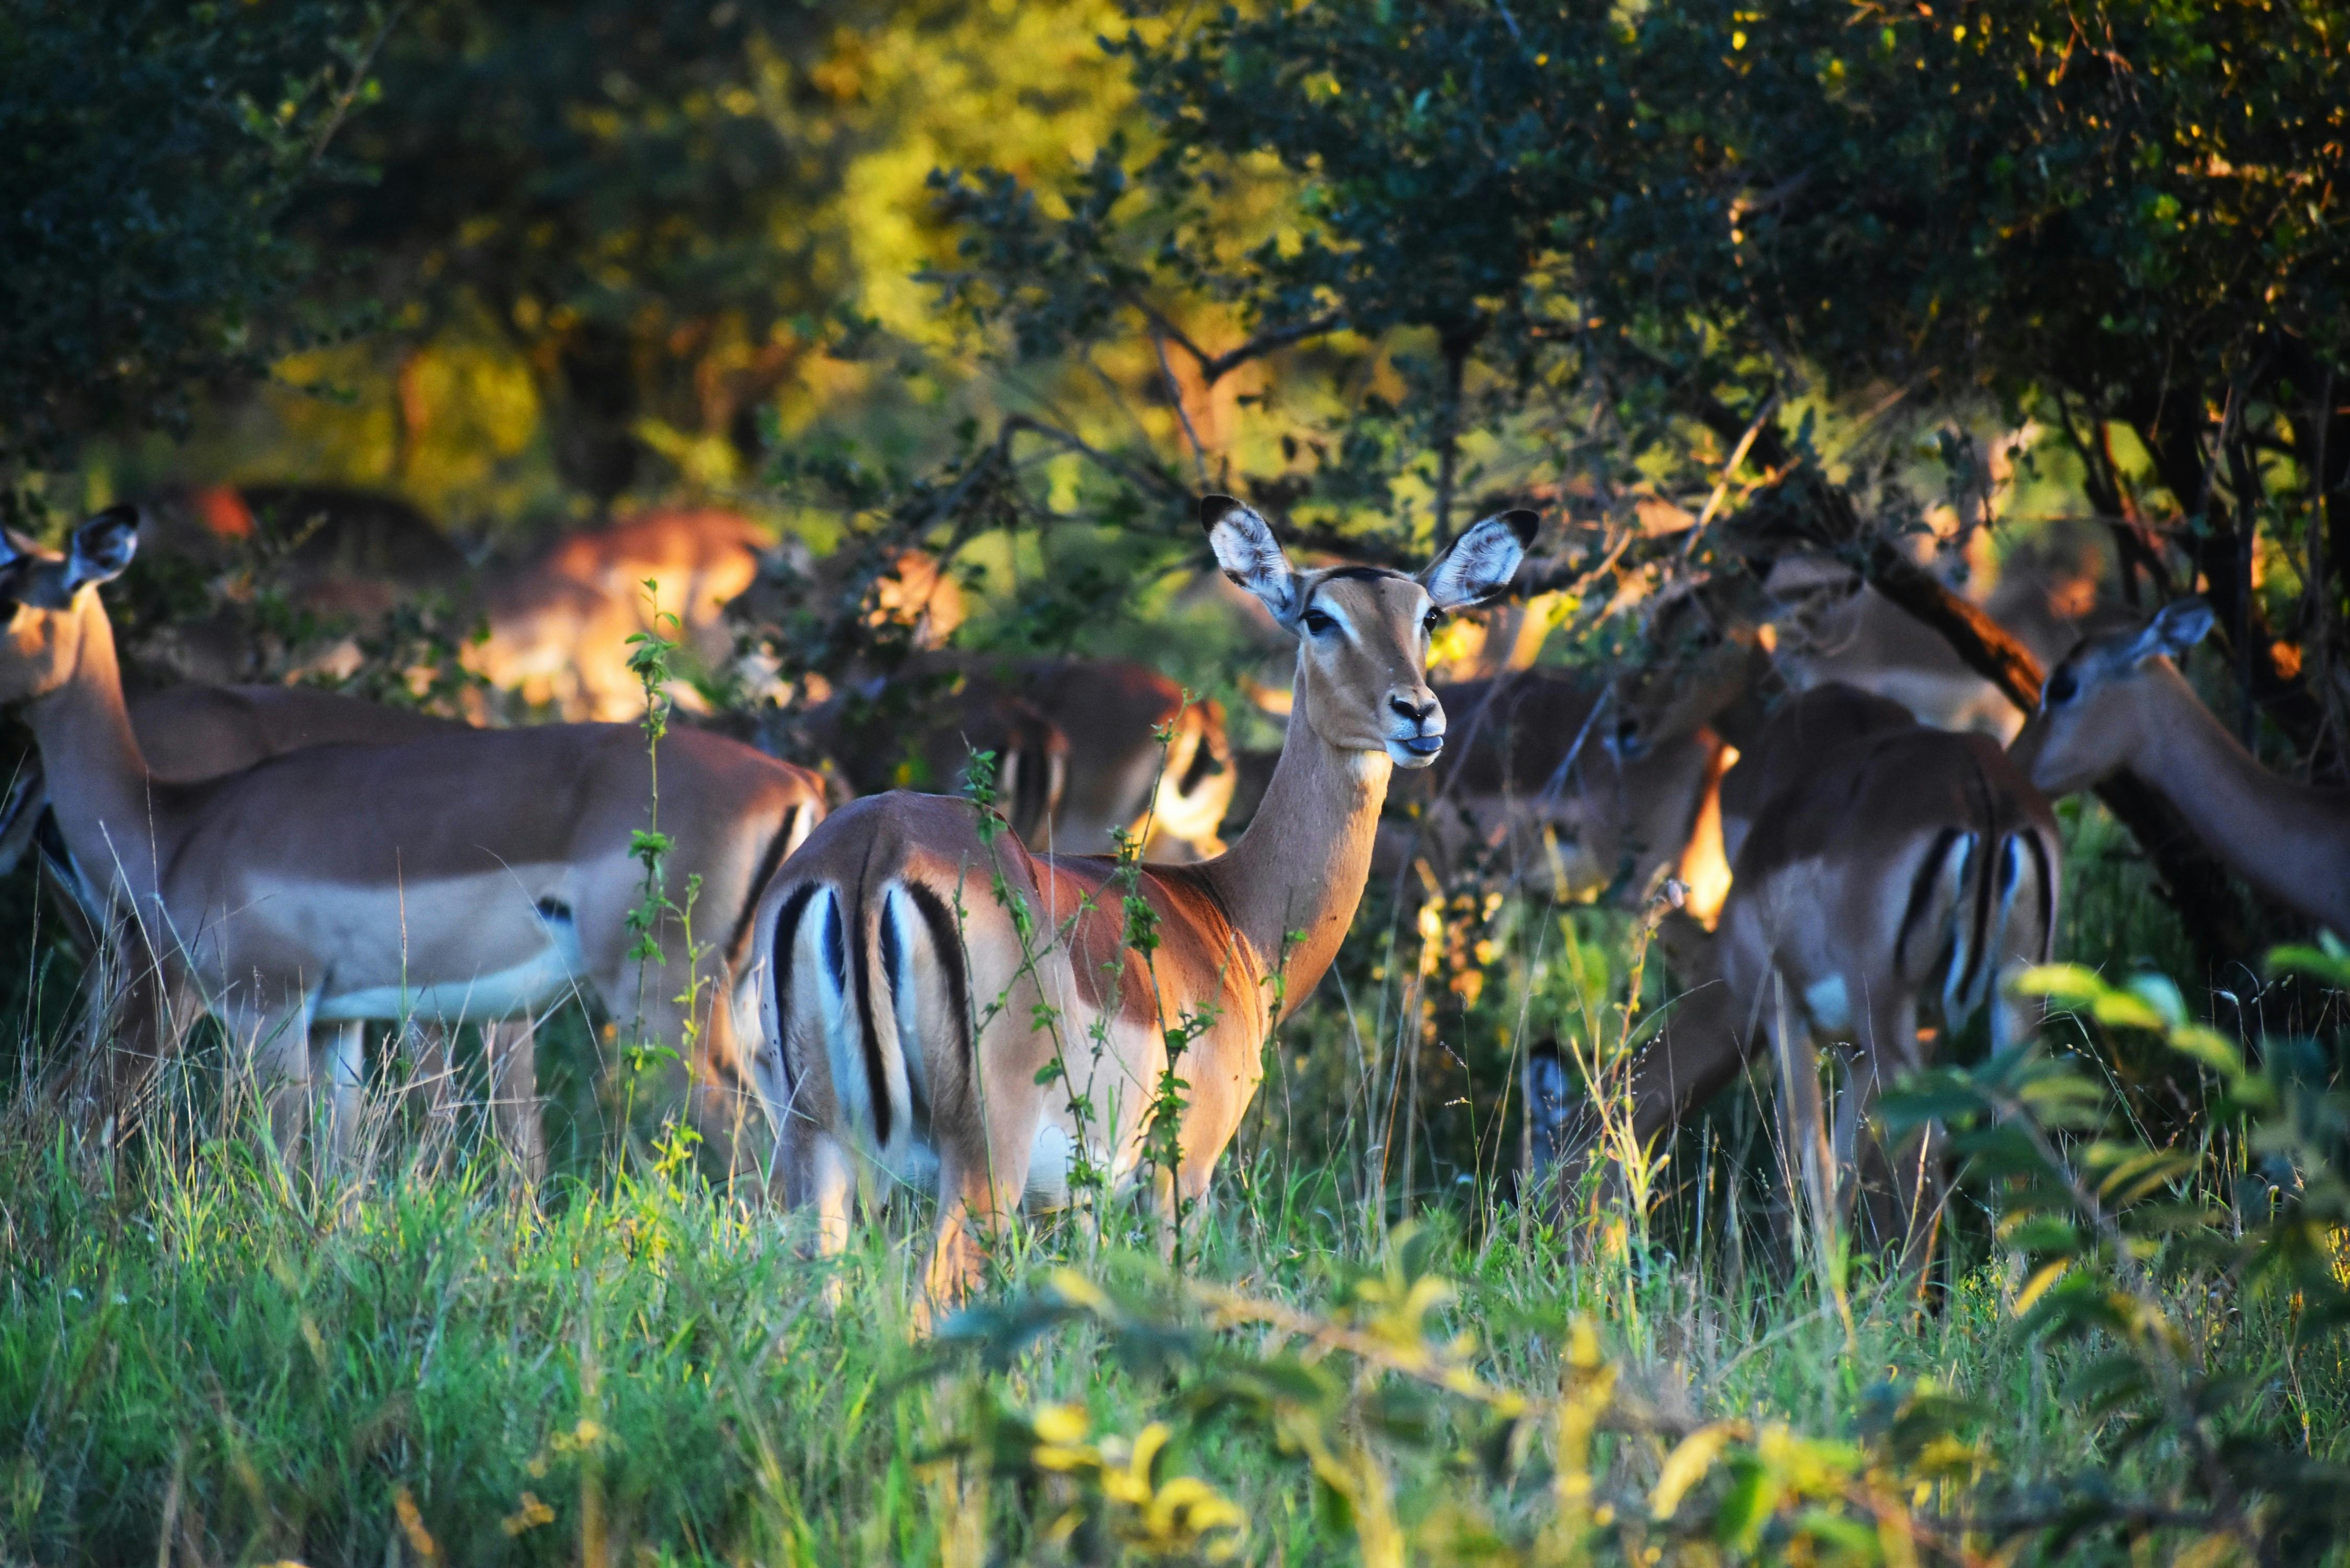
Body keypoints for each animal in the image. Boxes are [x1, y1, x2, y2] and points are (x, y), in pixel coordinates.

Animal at [749, 496, 1535, 1314]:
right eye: (1320, 617)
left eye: (1428, 615)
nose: (1418, 714)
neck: (1229, 915)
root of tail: (871, 855)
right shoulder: (1181, 1172)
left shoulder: (1085, 1198)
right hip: (978, 1167)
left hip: (817, 1148)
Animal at [1527, 682, 2061, 1279]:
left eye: (1558, 1179)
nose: (1558, 1267)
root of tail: (1980, 785)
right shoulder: (1848, 1047)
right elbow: (1845, 1162)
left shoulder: (1783, 1017)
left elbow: (1808, 1159)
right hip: (2011, 998)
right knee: (2013, 1152)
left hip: (1888, 1011)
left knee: (1928, 1145)